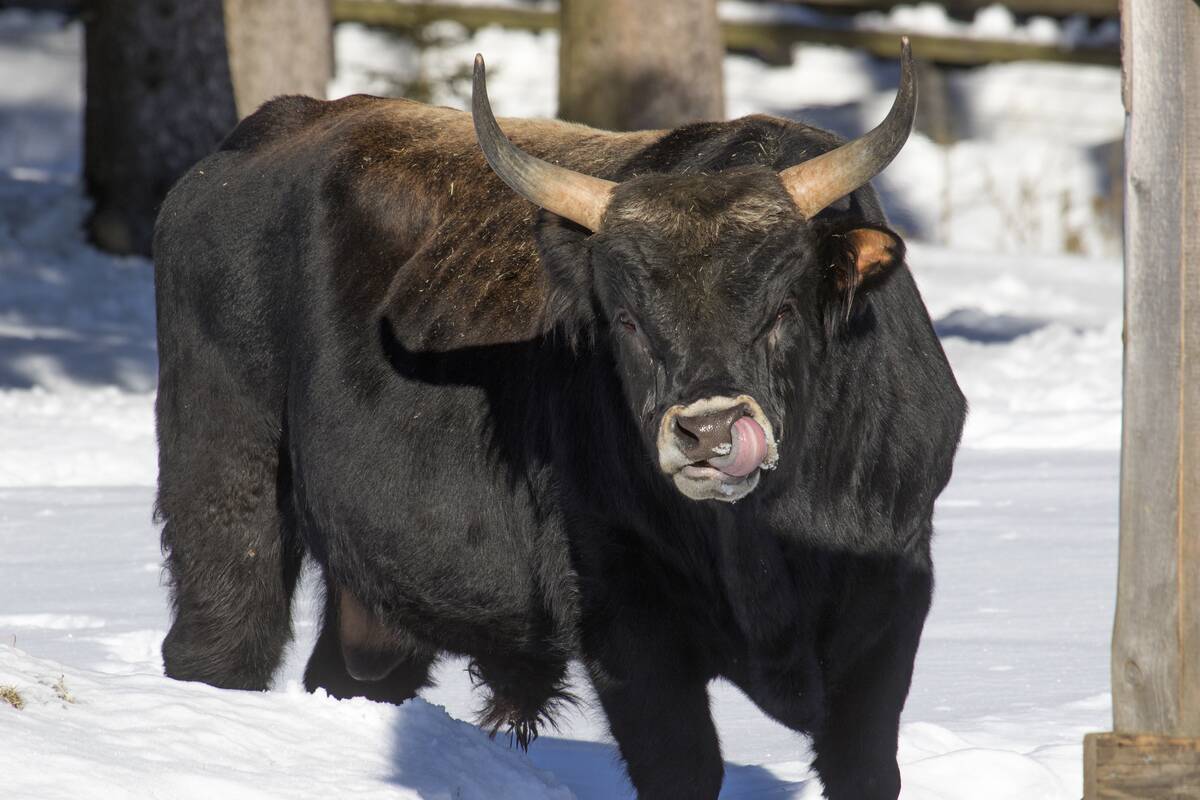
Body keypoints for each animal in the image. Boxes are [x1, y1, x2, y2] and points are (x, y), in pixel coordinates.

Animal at [153, 39, 965, 800]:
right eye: (628, 319)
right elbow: (684, 767)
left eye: (782, 309)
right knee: (219, 640)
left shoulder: (894, 603)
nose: (707, 432)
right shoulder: (627, 624)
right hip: (225, 500)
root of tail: (257, 137)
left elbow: (865, 768)